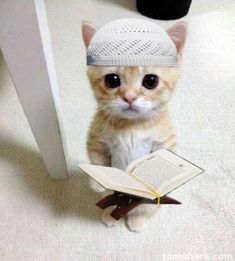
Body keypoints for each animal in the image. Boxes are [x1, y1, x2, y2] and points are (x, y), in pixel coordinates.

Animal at [81, 21, 186, 231]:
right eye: (112, 80)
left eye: (150, 81)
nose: (129, 97)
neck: (131, 126)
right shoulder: (96, 138)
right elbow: (97, 157)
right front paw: (98, 181)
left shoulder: (165, 142)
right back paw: (111, 214)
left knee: (144, 207)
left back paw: (138, 218)